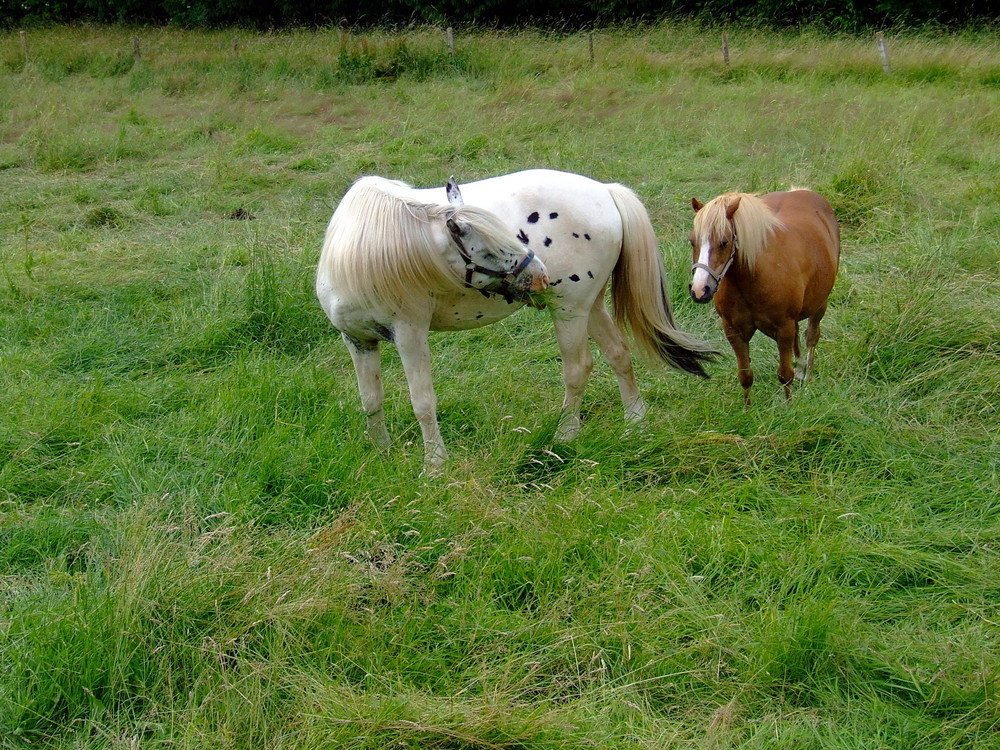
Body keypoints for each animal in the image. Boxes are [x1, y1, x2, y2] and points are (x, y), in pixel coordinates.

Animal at [316, 172, 716, 476]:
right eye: (488, 249)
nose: (539, 275)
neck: (363, 252)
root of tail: (605, 191)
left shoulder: (410, 336)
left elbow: (423, 403)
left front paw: (435, 466)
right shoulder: (357, 340)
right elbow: (371, 398)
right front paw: (380, 451)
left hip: (570, 309)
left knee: (578, 368)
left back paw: (565, 436)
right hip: (591, 306)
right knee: (619, 356)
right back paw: (636, 426)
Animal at [688, 191, 836, 408]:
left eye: (724, 242)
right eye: (692, 241)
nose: (700, 290)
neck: (754, 278)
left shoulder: (783, 329)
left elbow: (785, 375)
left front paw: (789, 407)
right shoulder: (734, 332)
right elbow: (745, 375)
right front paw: (747, 409)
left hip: (819, 304)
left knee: (811, 336)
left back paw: (807, 374)